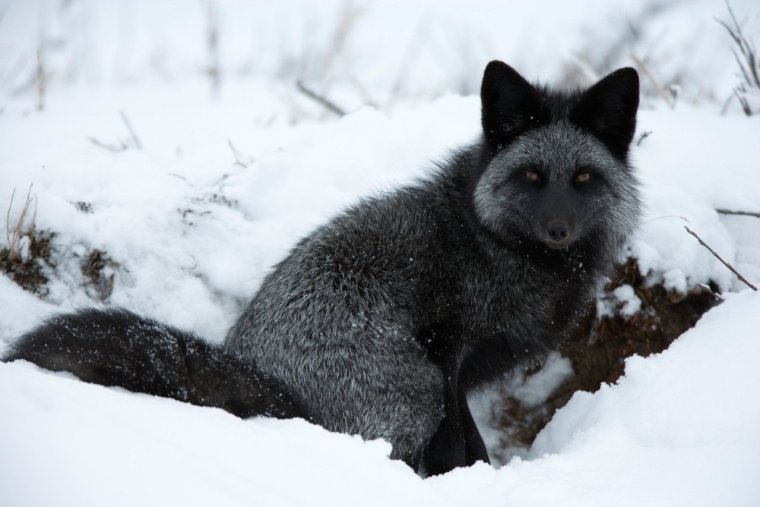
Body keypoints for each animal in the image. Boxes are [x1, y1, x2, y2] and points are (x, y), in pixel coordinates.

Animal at [4, 60, 640, 476]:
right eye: (531, 176)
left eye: (584, 178)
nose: (558, 229)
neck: (492, 243)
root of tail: (279, 393)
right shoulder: (446, 349)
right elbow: (463, 443)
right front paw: (467, 481)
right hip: (414, 389)